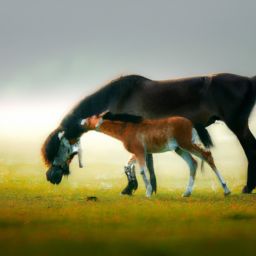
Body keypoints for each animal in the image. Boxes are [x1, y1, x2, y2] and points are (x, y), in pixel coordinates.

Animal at [41, 73, 256, 193]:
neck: (118, 96)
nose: (50, 176)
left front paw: (134, 188)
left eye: (59, 148)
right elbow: (147, 163)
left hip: (238, 125)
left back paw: (248, 187)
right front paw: (148, 187)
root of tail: (249, 80)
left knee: (250, 148)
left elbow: (141, 164)